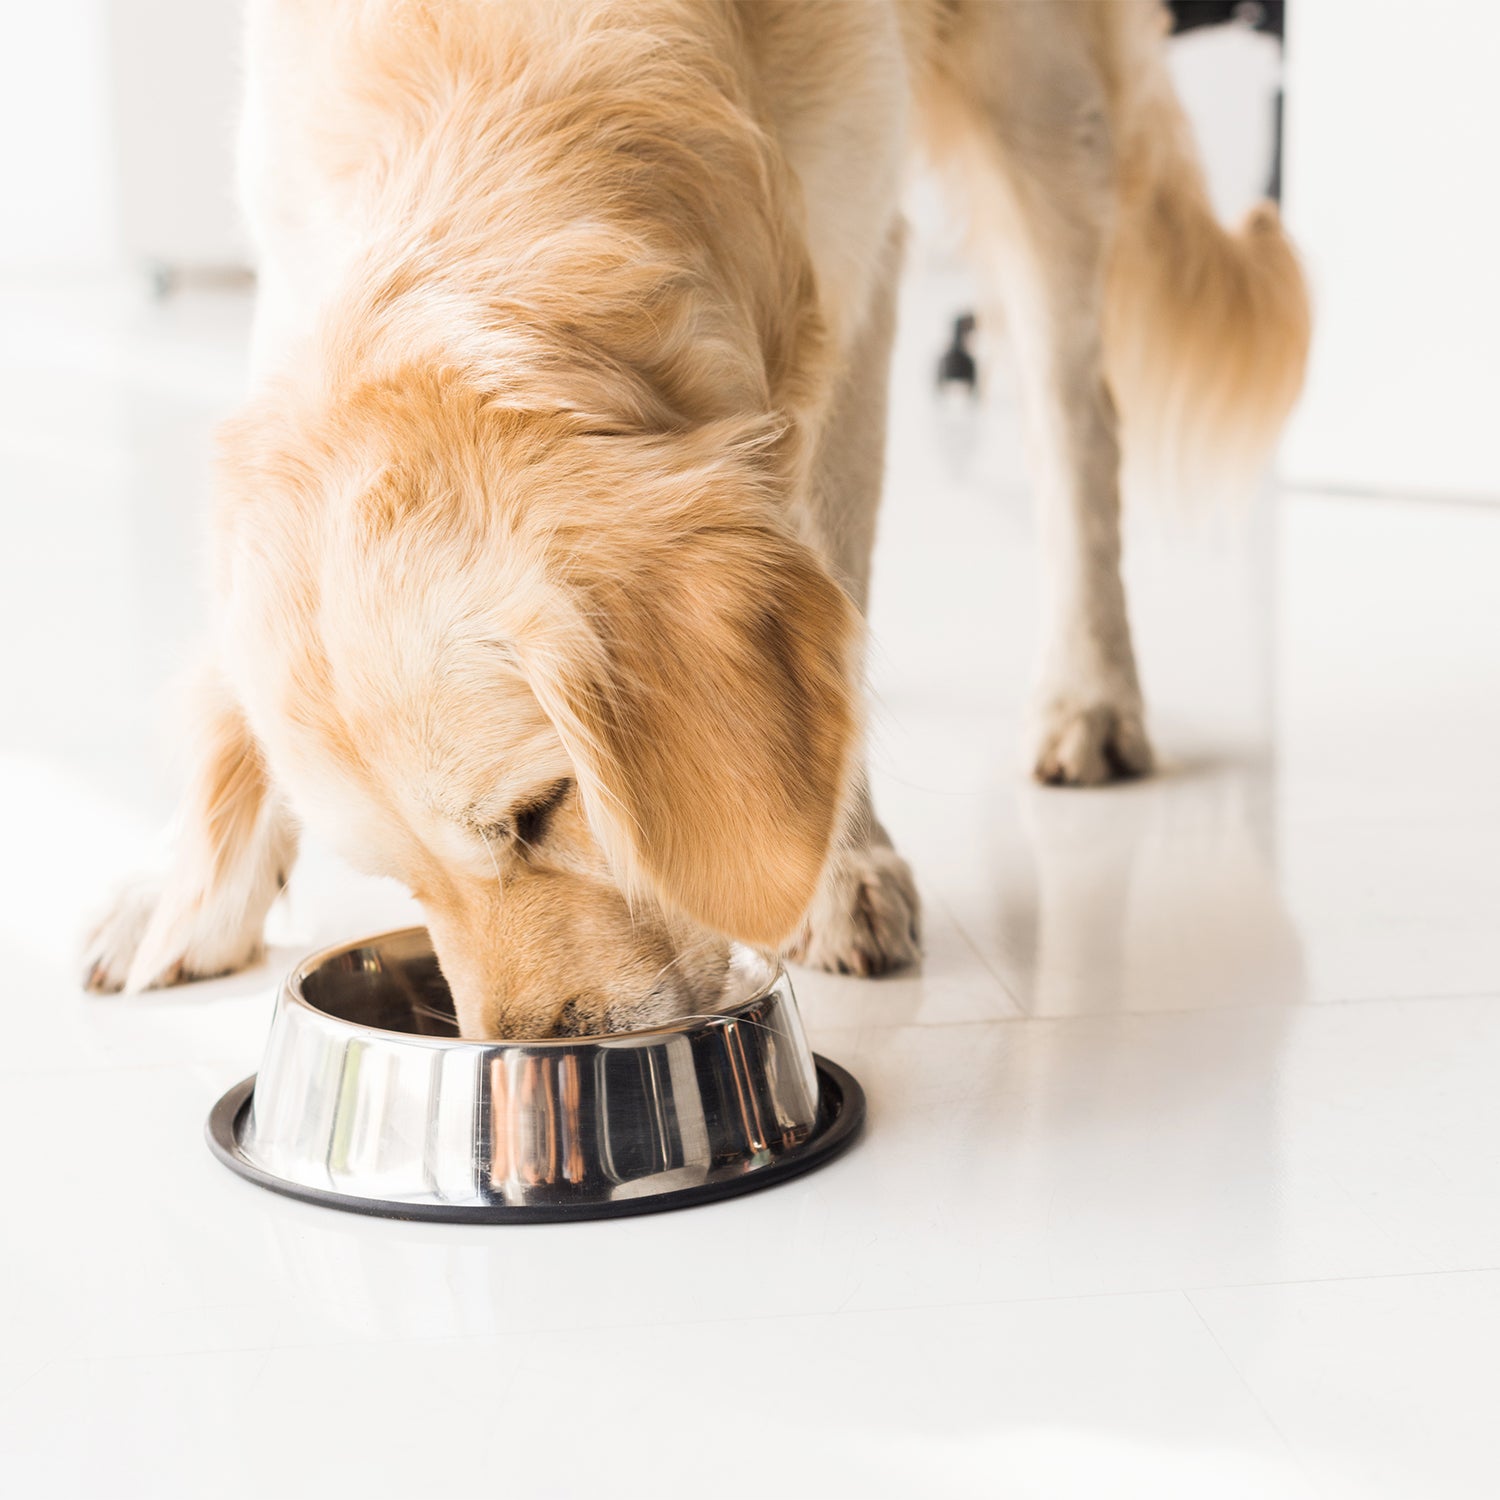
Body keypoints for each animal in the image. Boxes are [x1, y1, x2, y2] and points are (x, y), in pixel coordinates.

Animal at [82, 0, 1308, 1038]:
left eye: (541, 811)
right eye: (397, 878)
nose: (532, 1053)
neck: (497, 70)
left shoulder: (852, 254)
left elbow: (833, 561)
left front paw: (836, 868)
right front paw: (189, 884)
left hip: (1042, 99)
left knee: (1076, 420)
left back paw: (1089, 694)